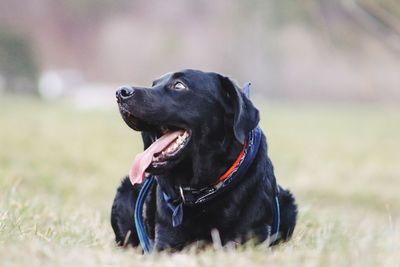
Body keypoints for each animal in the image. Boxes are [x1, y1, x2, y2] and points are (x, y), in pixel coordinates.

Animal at [110, 68, 296, 251]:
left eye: (179, 85)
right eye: (153, 84)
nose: (120, 92)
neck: (201, 192)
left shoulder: (251, 240)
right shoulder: (165, 243)